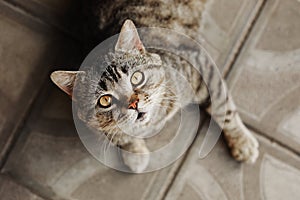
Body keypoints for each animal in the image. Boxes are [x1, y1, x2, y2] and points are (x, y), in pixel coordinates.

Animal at [49, 0, 258, 173]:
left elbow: (223, 108)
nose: (133, 104)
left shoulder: (201, 65)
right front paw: (135, 152)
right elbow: (120, 136)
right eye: (105, 100)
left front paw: (242, 142)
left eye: (136, 78)